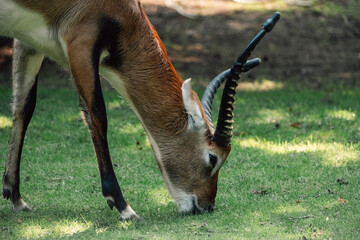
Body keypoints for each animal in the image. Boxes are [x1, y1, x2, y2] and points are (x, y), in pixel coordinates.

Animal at [0, 0, 280, 220]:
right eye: (213, 157)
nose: (206, 206)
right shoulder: (79, 43)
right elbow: (97, 115)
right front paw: (124, 207)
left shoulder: (29, 41)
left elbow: (23, 107)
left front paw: (15, 198)